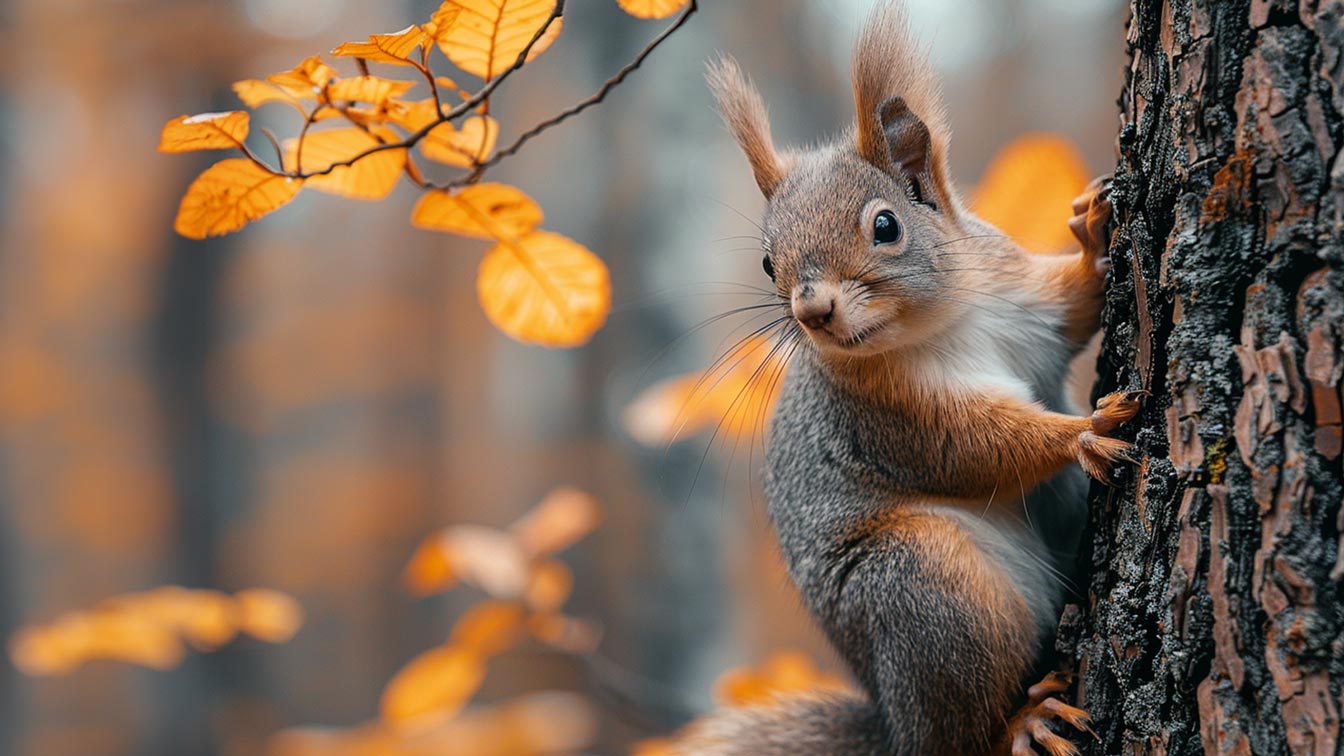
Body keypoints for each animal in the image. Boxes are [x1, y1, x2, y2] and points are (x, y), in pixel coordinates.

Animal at [666, 1, 1139, 753]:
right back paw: (1023, 724)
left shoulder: (1021, 298)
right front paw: (1084, 434)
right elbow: (969, 448)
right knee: (964, 727)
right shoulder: (884, 414)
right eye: (769, 262)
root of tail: (895, 723)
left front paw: (1094, 243)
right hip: (927, 589)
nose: (813, 311)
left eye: (886, 226)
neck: (948, 319)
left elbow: (1071, 307)